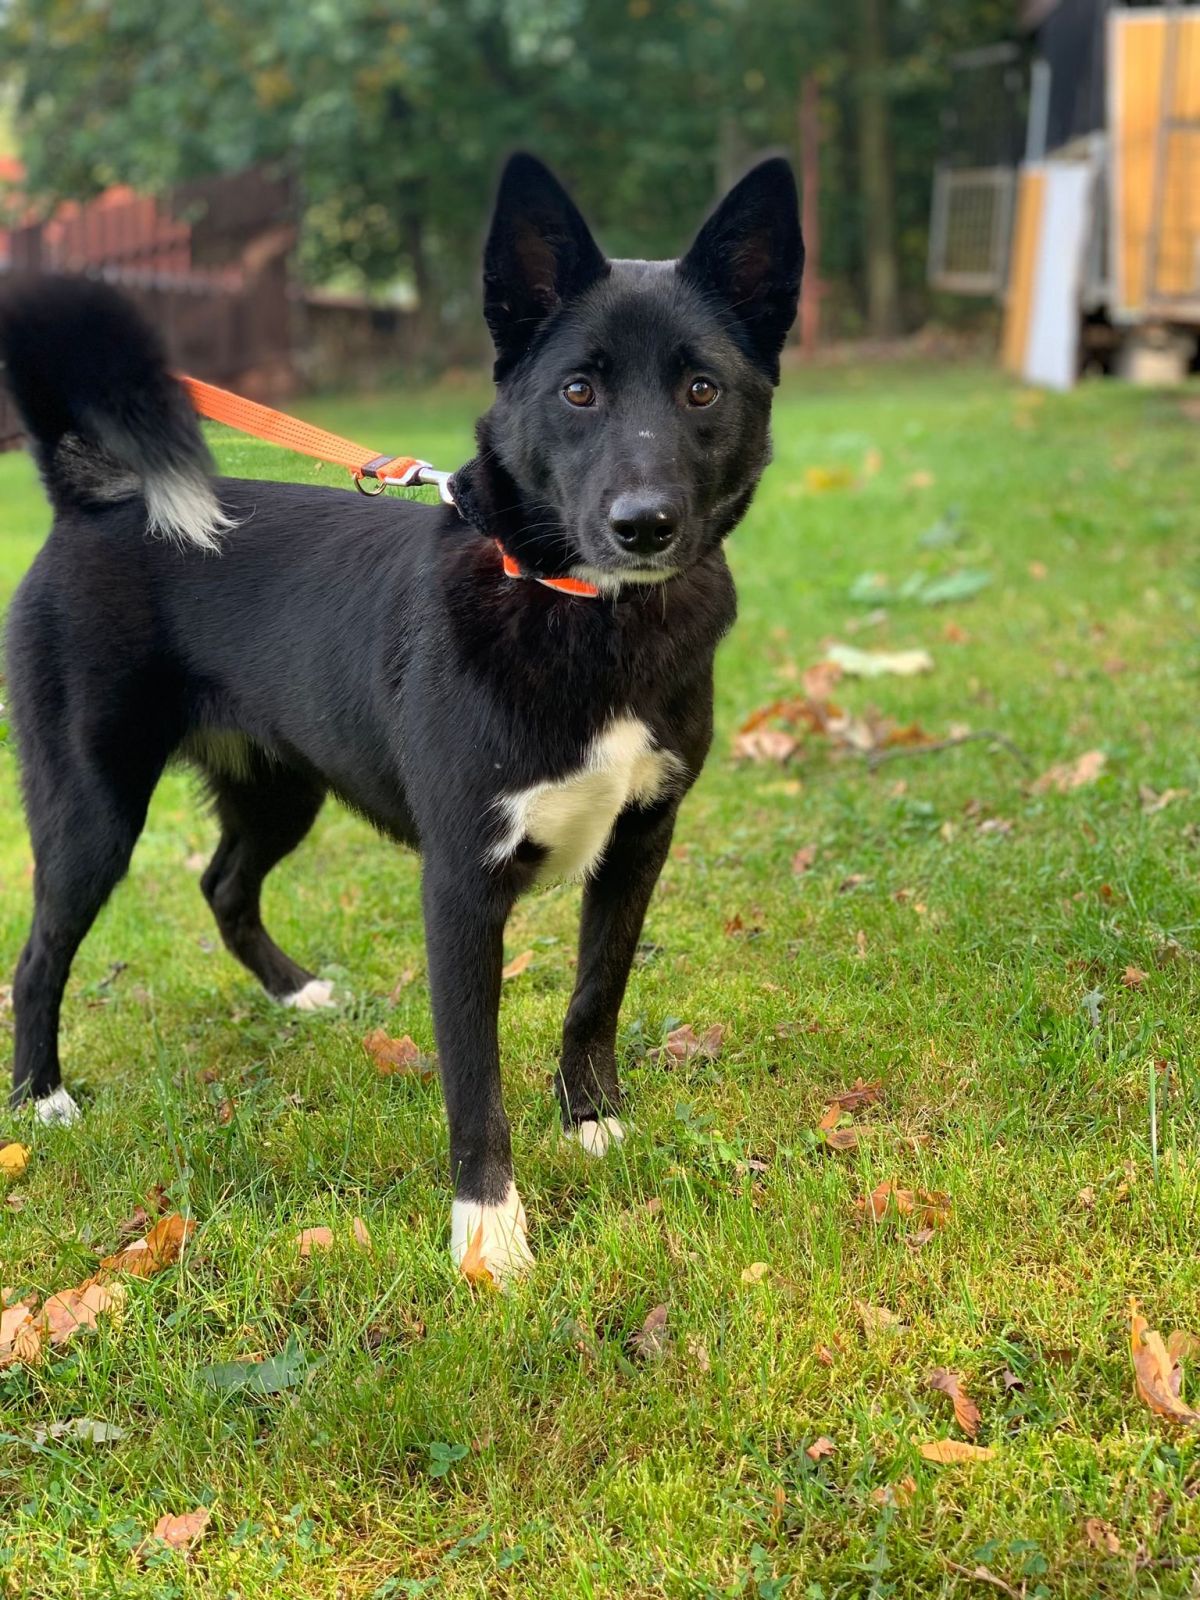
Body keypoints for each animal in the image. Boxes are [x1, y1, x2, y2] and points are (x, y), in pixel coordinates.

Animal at [0, 153, 802, 1278]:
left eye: (702, 388)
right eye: (578, 388)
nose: (642, 525)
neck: (582, 612)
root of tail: (93, 498)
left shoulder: (642, 838)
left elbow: (597, 990)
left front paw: (591, 1119)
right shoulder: (460, 886)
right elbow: (474, 1077)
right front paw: (489, 1232)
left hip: (278, 787)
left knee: (223, 883)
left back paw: (297, 996)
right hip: (92, 812)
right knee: (37, 959)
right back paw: (44, 1101)